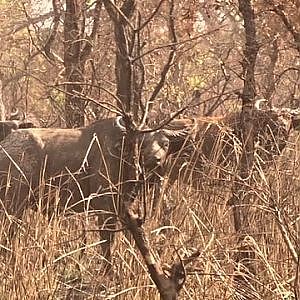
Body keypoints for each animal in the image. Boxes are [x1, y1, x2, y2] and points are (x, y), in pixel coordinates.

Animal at [0, 116, 170, 266]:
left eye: (165, 144)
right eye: (142, 143)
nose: (155, 159)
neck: (121, 156)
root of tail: (5, 148)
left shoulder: (123, 209)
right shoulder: (105, 209)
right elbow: (107, 242)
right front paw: (108, 270)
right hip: (14, 206)